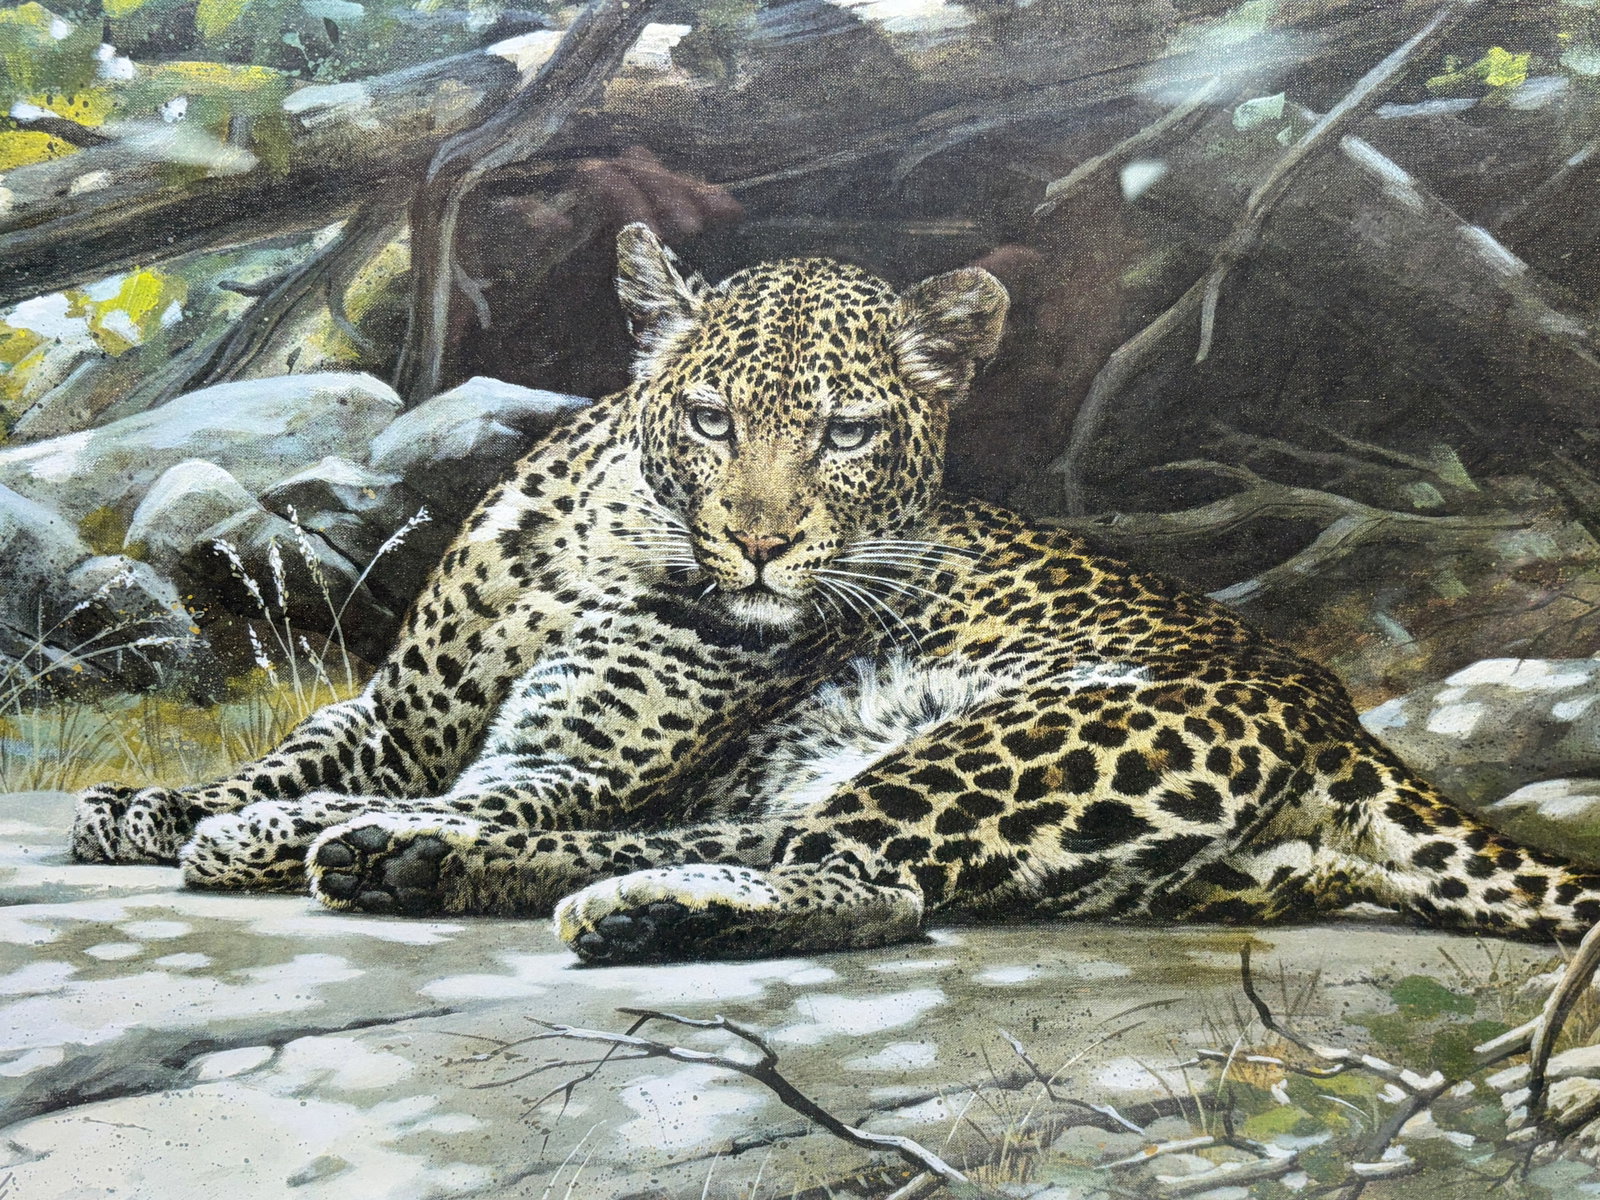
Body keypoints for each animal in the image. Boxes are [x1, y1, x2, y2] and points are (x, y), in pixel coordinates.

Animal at [70, 222, 1600, 964]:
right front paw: (161, 808)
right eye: (710, 418)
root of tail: (1338, 714)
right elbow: (295, 755)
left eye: (849, 434)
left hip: (1012, 741)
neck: (602, 546)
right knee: (818, 865)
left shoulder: (565, 762)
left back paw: (450, 870)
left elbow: (486, 793)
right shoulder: (405, 712)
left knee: (848, 870)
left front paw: (263, 834)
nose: (756, 544)